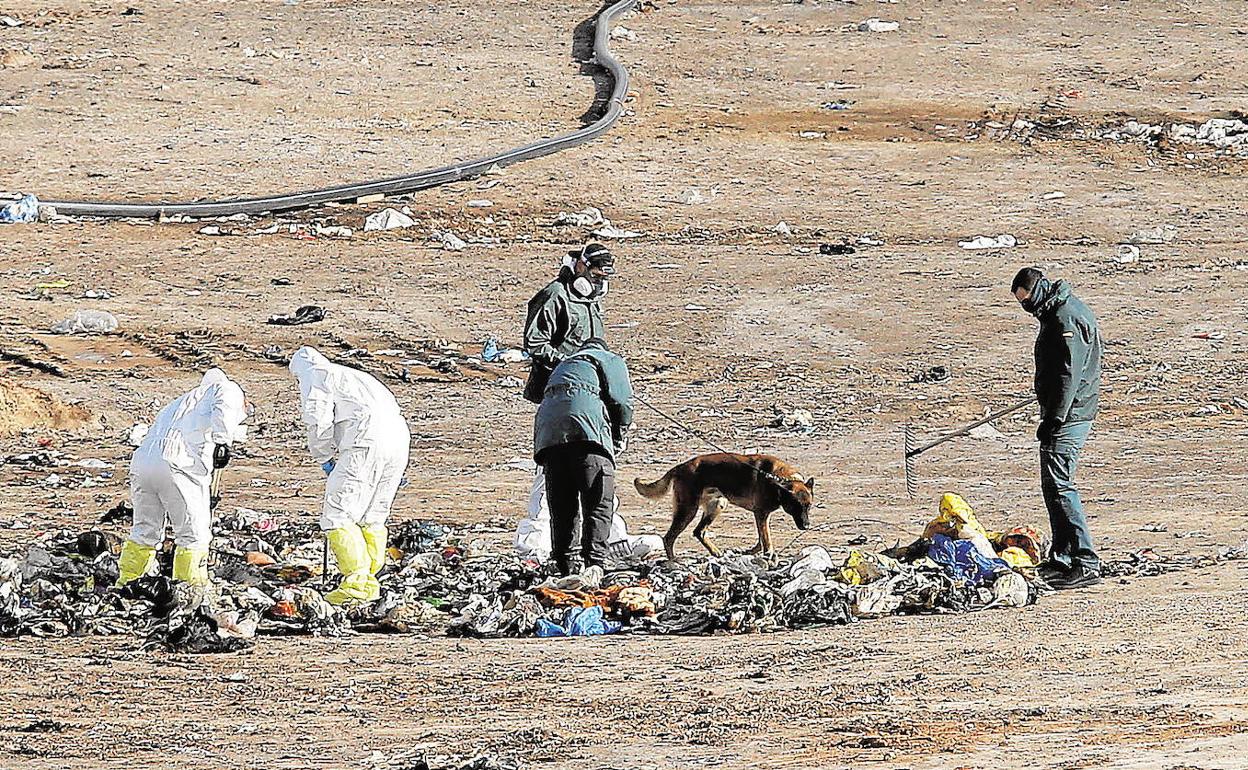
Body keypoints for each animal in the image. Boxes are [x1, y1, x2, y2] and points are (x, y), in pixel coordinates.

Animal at [633, 454, 818, 556]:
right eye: (795, 506)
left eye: (808, 507)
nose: (807, 526)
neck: (780, 480)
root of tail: (680, 466)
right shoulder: (761, 513)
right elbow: (766, 539)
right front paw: (769, 555)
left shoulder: (760, 515)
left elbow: (761, 537)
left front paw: (753, 552)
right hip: (688, 510)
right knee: (669, 538)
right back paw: (674, 562)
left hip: (717, 505)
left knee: (698, 531)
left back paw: (715, 552)